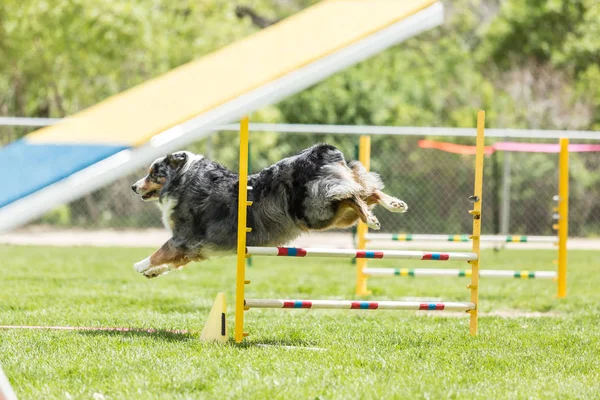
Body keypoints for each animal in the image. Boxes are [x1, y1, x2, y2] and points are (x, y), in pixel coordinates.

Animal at [132, 144, 408, 278]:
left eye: (154, 173)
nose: (134, 186)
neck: (184, 179)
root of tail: (321, 151)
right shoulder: (195, 250)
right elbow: (172, 262)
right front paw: (152, 272)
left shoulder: (184, 237)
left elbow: (161, 251)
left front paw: (140, 264)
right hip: (333, 215)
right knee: (364, 190)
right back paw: (393, 205)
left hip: (316, 211)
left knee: (353, 194)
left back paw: (371, 218)